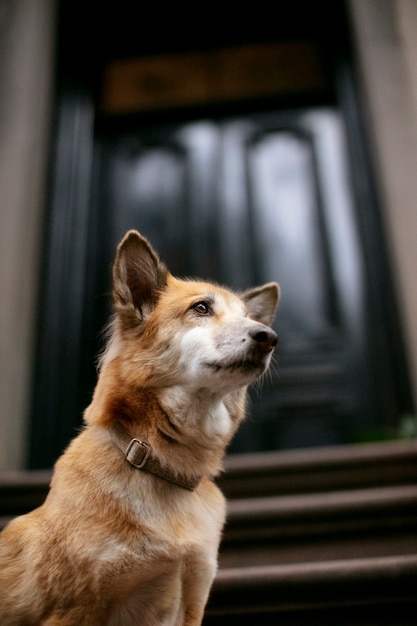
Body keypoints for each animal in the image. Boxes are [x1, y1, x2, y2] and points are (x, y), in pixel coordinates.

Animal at [0, 230, 280, 624]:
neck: (161, 464)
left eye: (245, 316)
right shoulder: (73, 609)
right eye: (201, 308)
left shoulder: (192, 597)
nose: (269, 336)